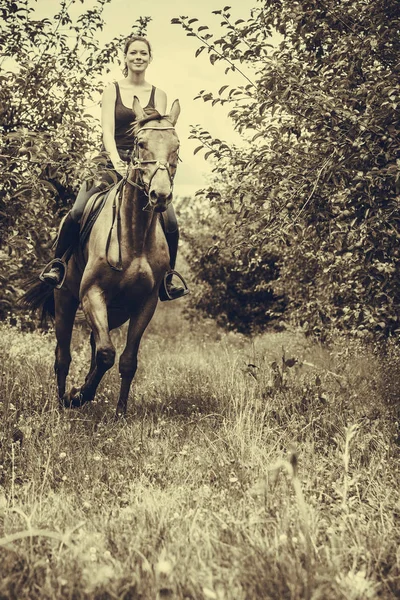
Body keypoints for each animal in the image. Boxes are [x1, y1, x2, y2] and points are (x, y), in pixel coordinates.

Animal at [23, 98, 181, 418]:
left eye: (177, 146)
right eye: (141, 143)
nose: (160, 195)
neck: (134, 235)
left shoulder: (145, 303)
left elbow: (126, 360)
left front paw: (119, 412)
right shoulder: (91, 294)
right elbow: (107, 354)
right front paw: (77, 396)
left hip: (116, 311)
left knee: (95, 348)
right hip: (65, 300)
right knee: (63, 355)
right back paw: (61, 404)